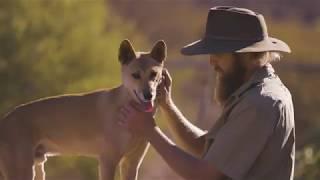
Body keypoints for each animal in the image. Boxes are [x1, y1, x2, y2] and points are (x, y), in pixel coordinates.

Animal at [0, 39, 166, 180]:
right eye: (135, 75)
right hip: (22, 171)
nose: (149, 95)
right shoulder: (108, 160)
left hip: (37, 166)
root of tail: (5, 120)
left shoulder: (131, 163)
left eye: (154, 74)